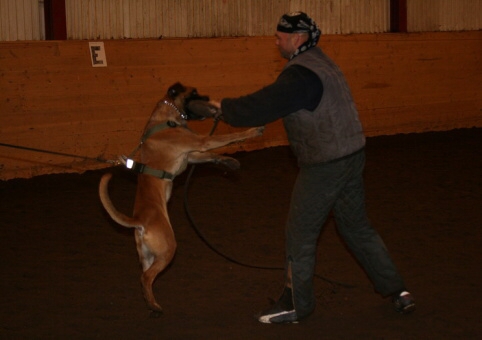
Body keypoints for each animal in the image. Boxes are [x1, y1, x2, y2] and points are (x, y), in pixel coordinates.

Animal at [98, 82, 264, 316]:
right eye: (194, 93)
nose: (210, 100)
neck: (168, 117)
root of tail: (139, 221)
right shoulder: (202, 141)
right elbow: (229, 138)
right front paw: (253, 130)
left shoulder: (192, 153)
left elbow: (211, 157)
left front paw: (230, 162)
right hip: (168, 249)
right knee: (146, 277)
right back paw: (154, 306)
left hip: (147, 256)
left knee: (143, 277)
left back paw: (149, 302)